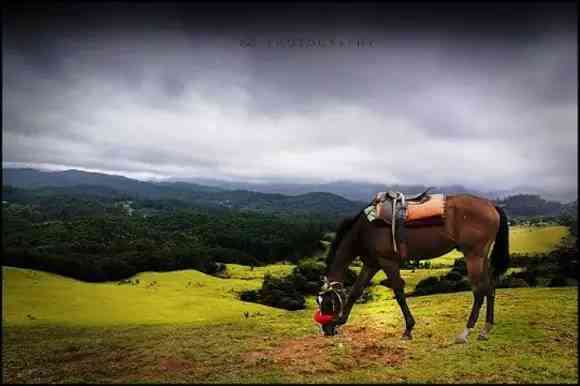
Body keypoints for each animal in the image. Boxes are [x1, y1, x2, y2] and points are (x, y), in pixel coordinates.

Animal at [314, 193, 510, 344]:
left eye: (329, 303)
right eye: (319, 302)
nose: (326, 330)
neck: (365, 230)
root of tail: (491, 205)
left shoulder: (388, 262)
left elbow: (399, 294)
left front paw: (408, 329)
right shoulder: (371, 264)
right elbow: (356, 291)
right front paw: (341, 320)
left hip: (473, 256)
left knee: (479, 291)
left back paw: (465, 332)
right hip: (482, 257)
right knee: (490, 288)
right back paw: (485, 329)